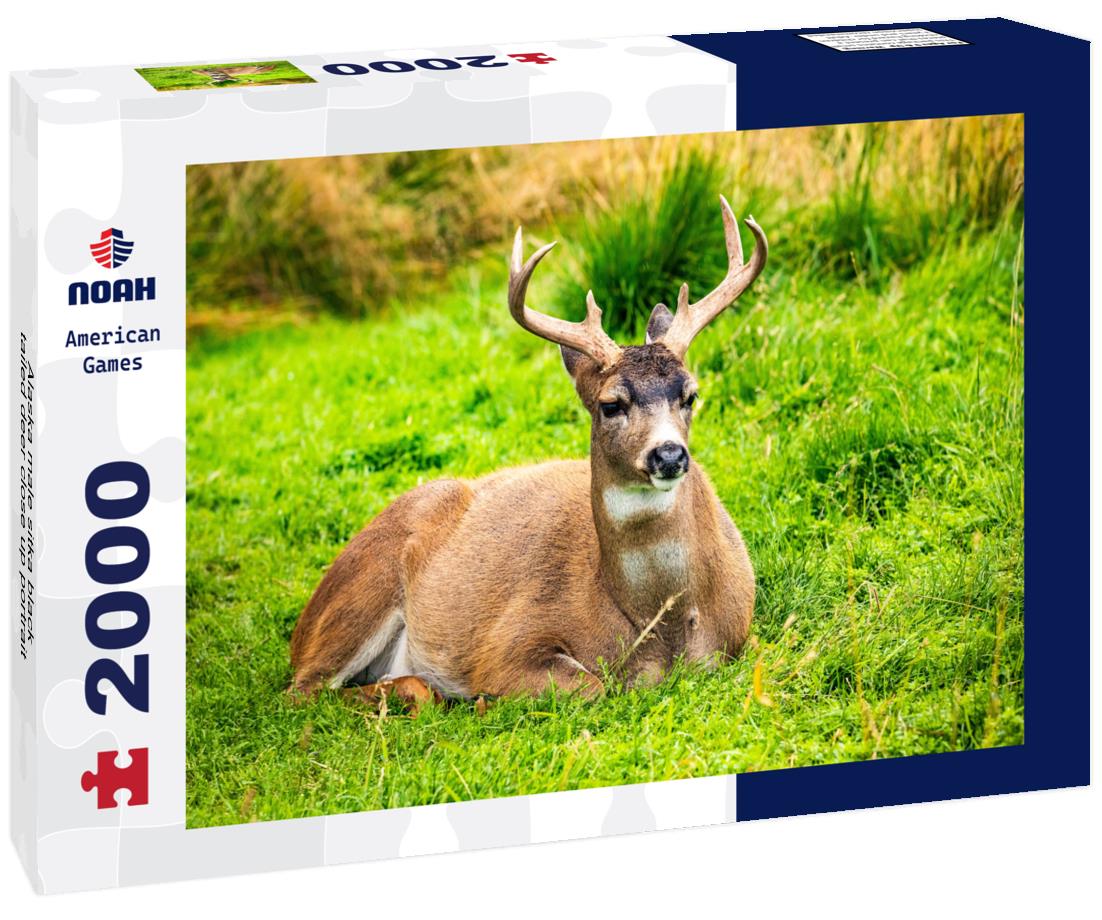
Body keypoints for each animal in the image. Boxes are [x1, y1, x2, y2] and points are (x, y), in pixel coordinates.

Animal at [289, 196, 767, 702]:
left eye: (690, 394)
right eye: (610, 404)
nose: (670, 455)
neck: (663, 625)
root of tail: (299, 630)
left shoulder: (745, 633)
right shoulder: (506, 643)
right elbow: (591, 685)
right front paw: (481, 701)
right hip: (361, 591)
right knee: (305, 690)